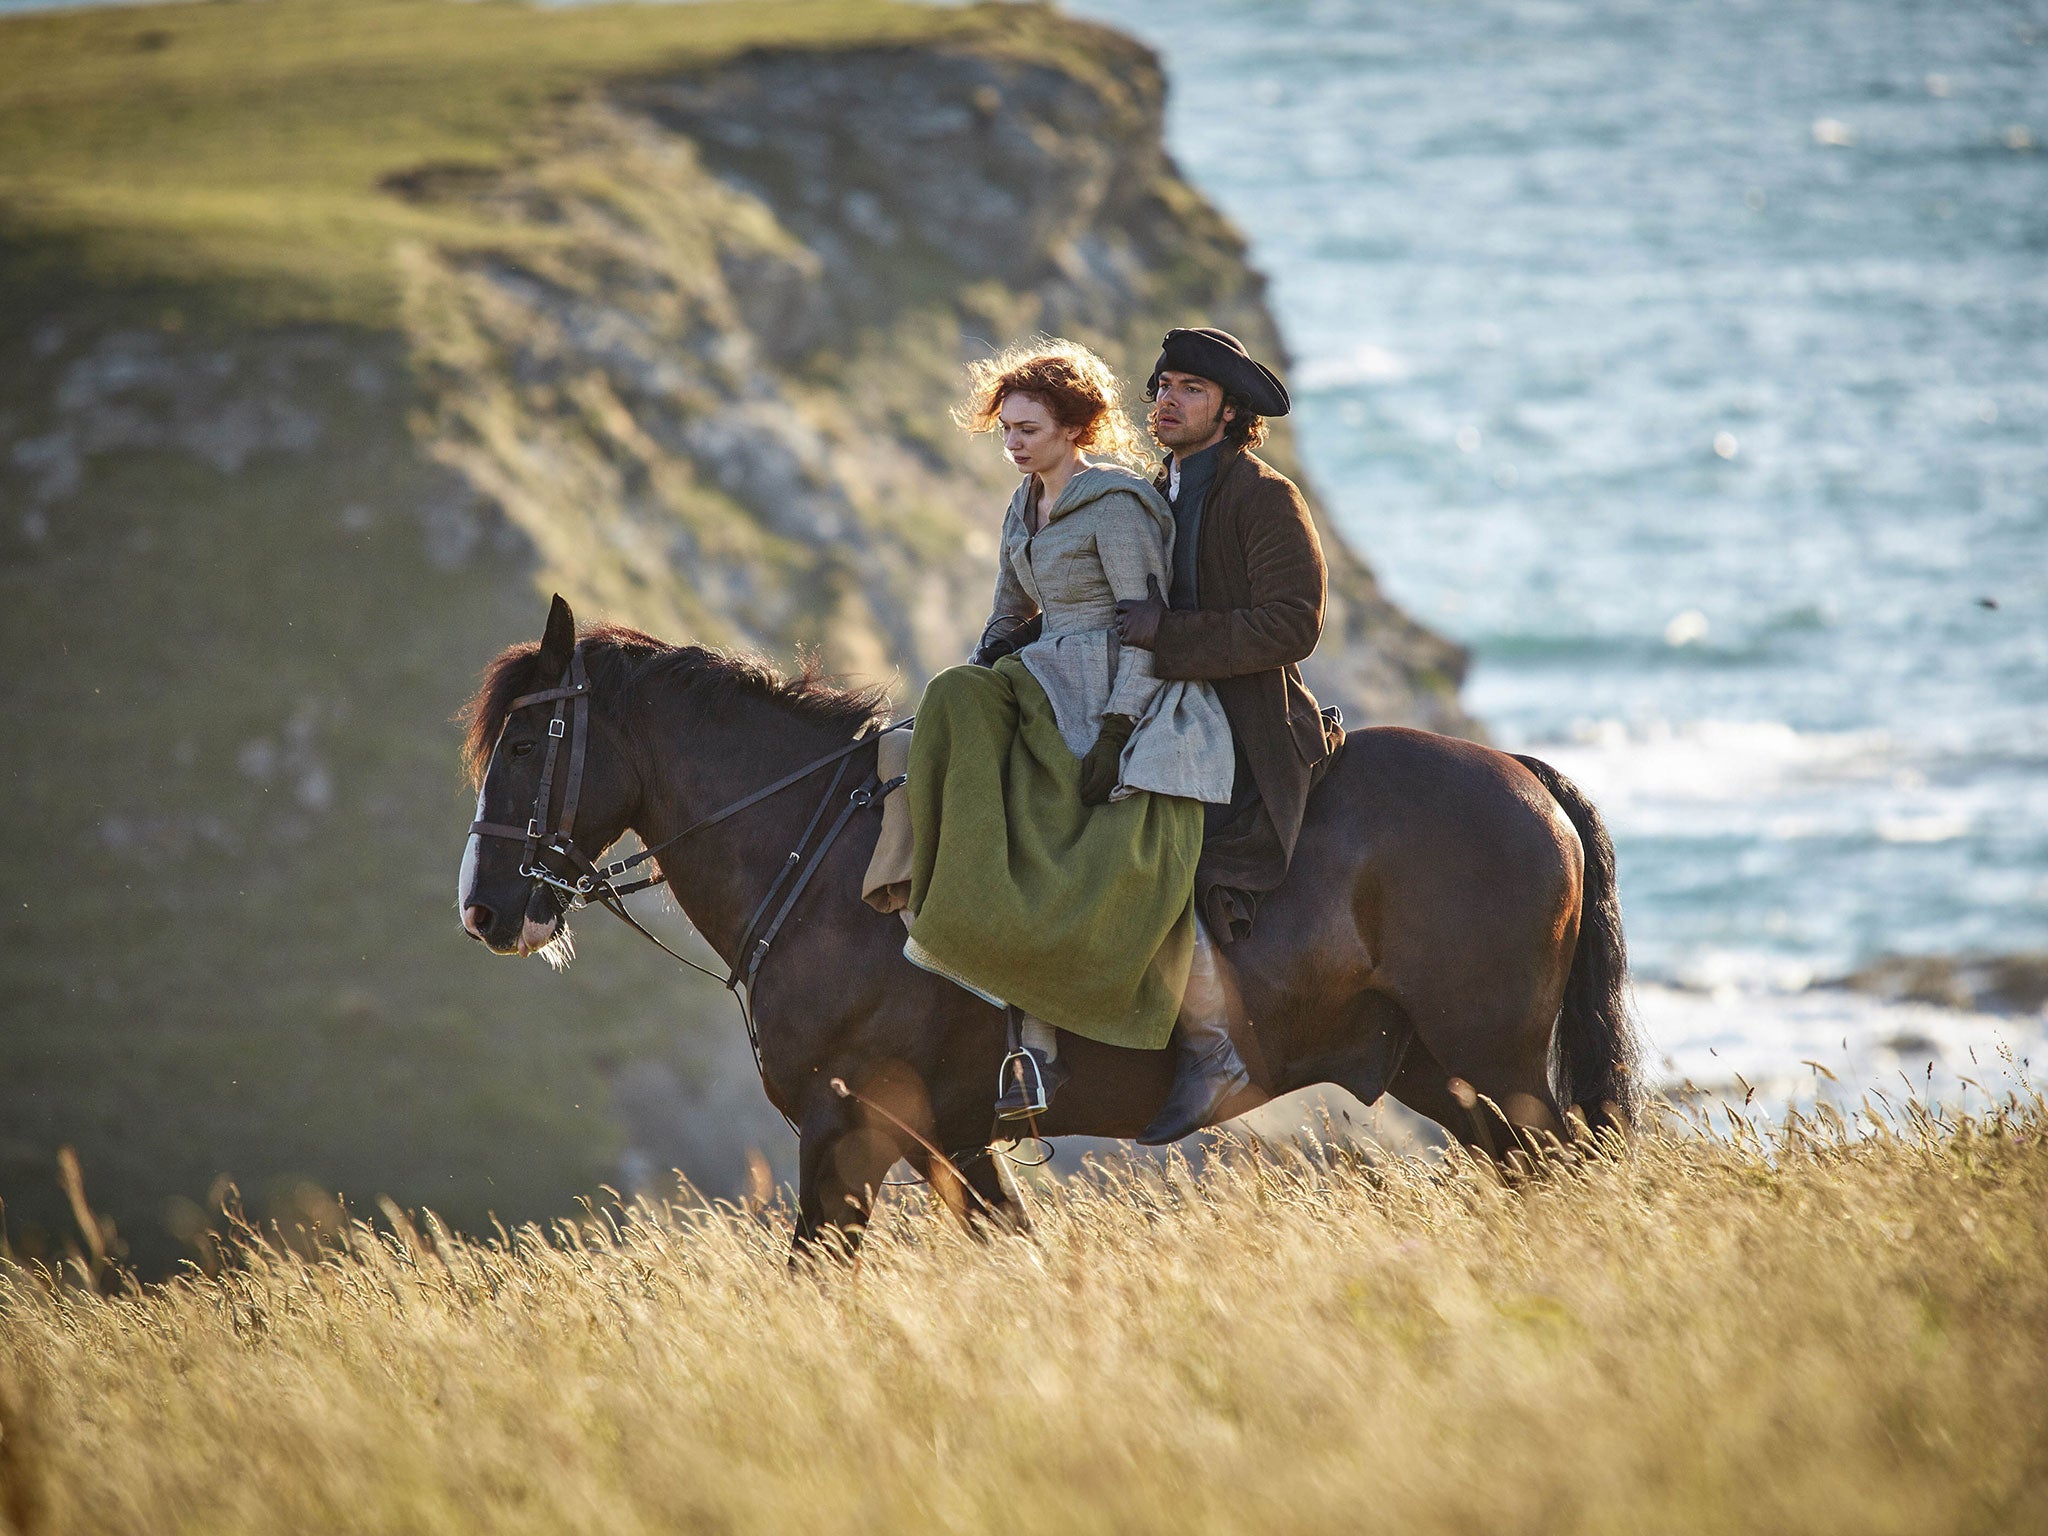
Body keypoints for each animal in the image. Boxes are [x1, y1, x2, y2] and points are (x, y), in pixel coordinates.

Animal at [456, 593, 1638, 1253]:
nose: (485, 909)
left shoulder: (849, 1132)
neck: (823, 861)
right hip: (1437, 1072)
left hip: (1496, 1063)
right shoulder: (952, 1143)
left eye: (522, 744)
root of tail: (1521, 778)